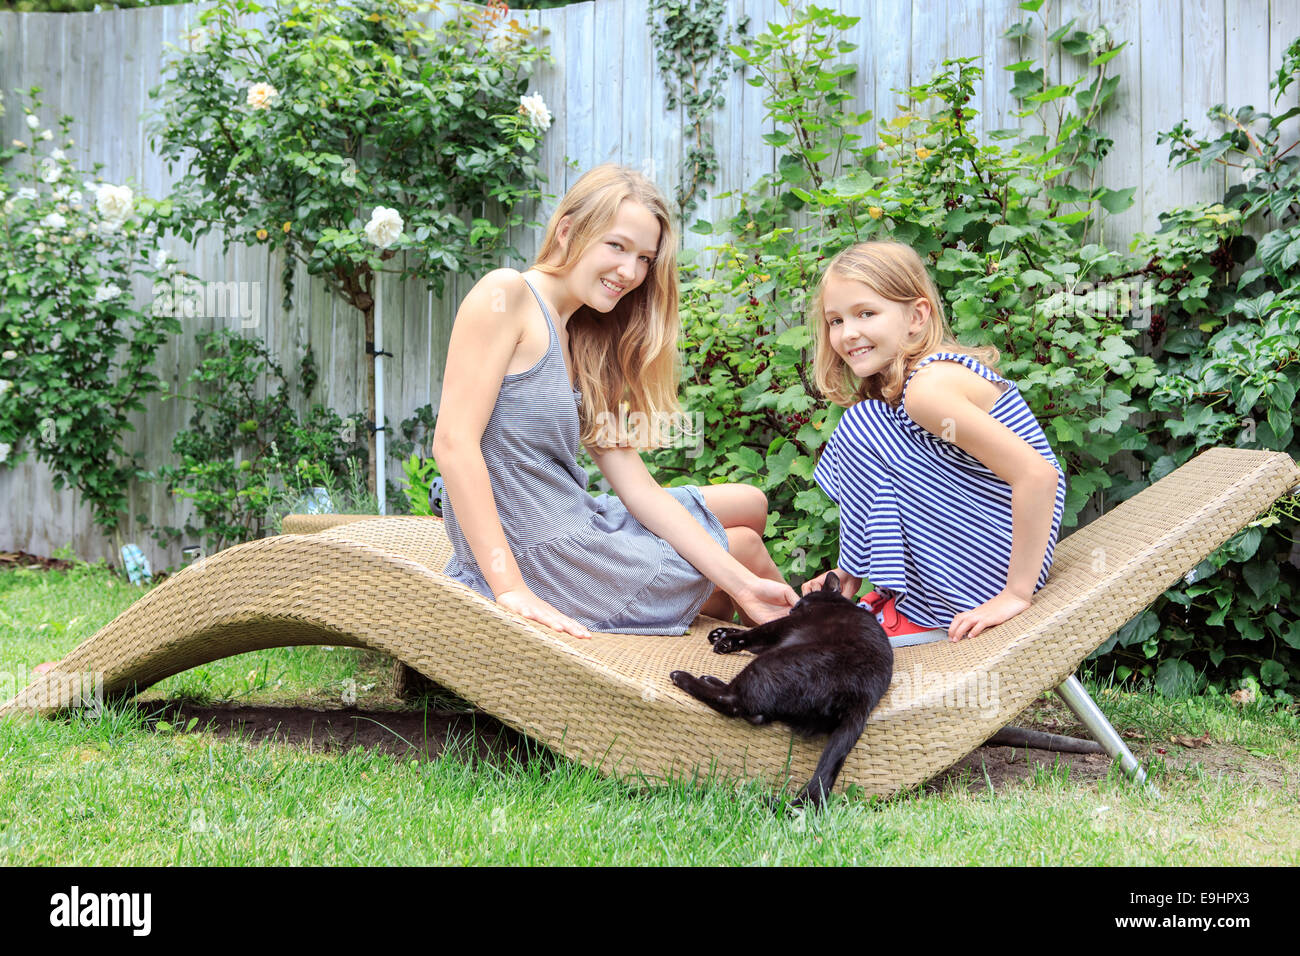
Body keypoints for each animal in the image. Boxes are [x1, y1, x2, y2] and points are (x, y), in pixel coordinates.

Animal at [670, 574, 894, 806]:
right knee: (755, 711)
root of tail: (861, 699)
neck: (837, 604)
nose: (793, 607)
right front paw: (721, 633)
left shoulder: (786, 625)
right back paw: (708, 678)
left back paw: (683, 677)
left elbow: (757, 631)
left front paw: (725, 641)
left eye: (801, 602)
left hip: (770, 662)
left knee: (732, 701)